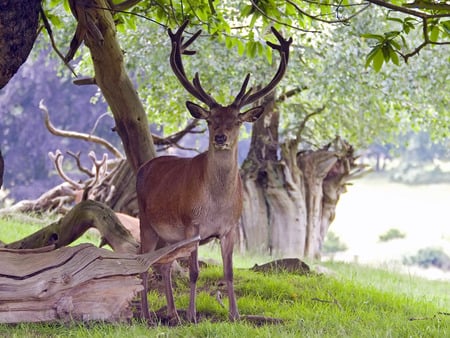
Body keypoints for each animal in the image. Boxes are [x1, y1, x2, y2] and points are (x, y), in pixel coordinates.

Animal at [137, 20, 292, 324]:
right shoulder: (191, 225)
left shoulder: (230, 228)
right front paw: (193, 316)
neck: (216, 204)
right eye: (210, 121)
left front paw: (235, 315)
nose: (221, 137)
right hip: (145, 221)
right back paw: (150, 316)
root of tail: (143, 167)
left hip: (166, 234)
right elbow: (195, 272)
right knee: (143, 262)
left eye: (236, 121)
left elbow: (229, 272)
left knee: (164, 265)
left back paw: (172, 314)